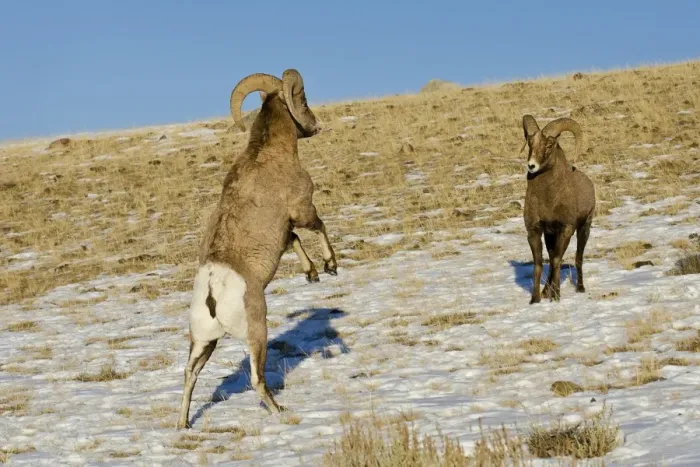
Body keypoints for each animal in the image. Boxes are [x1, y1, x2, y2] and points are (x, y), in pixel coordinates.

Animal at [177, 69, 338, 429]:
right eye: (303, 99)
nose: (315, 126)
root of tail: (213, 289)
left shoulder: (284, 233)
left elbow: (295, 241)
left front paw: (312, 273)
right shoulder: (302, 209)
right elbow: (317, 227)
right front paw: (330, 266)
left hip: (203, 341)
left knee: (189, 375)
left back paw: (183, 425)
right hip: (255, 333)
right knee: (255, 378)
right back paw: (279, 411)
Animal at [521, 115, 595, 304]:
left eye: (549, 145)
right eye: (530, 143)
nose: (531, 166)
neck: (547, 200)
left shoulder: (566, 229)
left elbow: (556, 261)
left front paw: (556, 297)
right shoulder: (535, 231)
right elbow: (539, 263)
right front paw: (535, 299)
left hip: (584, 228)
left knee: (578, 257)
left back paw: (580, 288)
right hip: (550, 236)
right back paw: (545, 291)